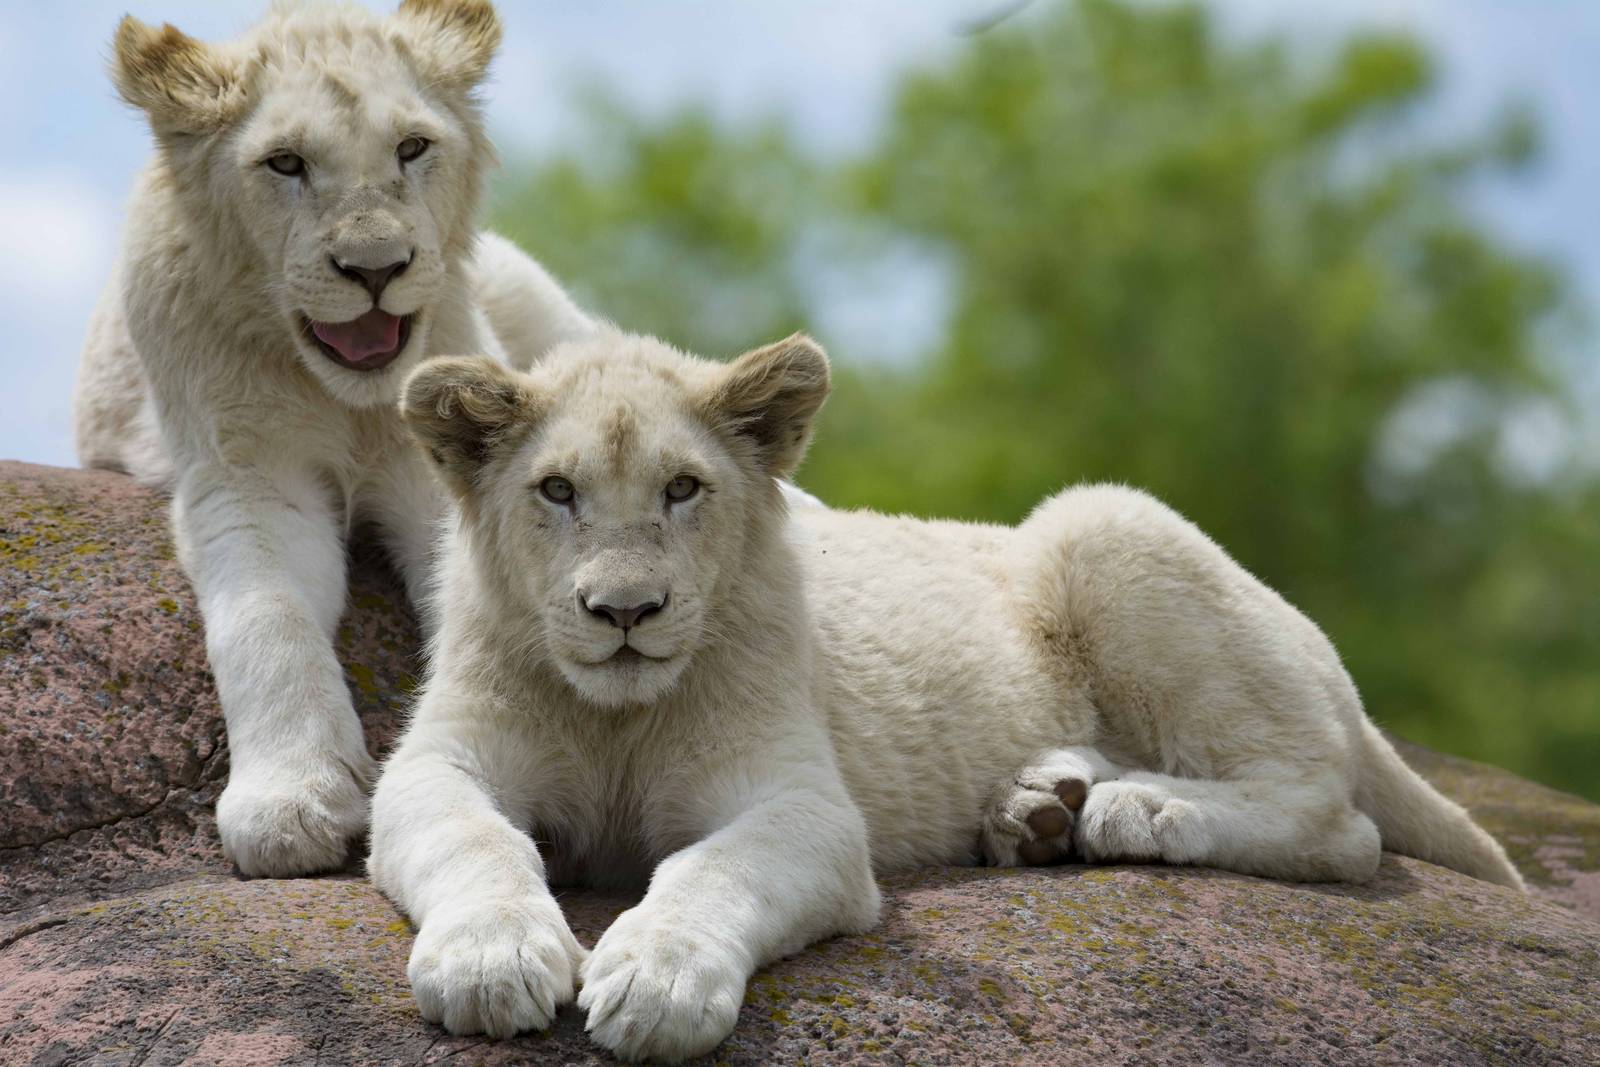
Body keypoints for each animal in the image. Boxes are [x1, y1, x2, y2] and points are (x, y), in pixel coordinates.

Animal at [71, 0, 597, 877]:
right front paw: (289, 807)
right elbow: (268, 619)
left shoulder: (442, 473)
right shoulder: (244, 474)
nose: (376, 268)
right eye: (285, 163)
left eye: (412, 148)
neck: (347, 401)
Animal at [368, 330, 1522, 1062]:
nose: (623, 611)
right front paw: (492, 961)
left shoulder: (805, 803)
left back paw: (1129, 807)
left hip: (1102, 525)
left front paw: (656, 980)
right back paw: (1038, 807)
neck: (617, 715)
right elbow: (472, 834)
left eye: (683, 488)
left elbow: (712, 867)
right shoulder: (440, 760)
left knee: (1340, 819)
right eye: (556, 490)